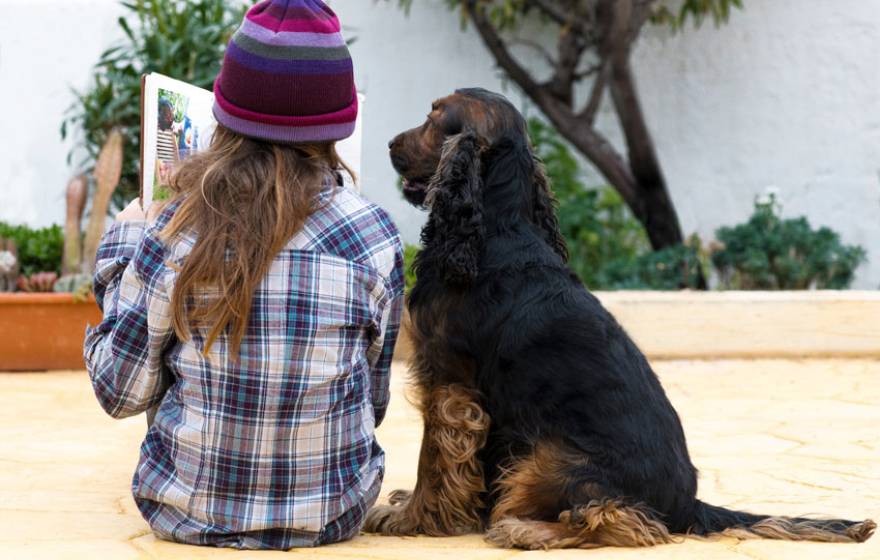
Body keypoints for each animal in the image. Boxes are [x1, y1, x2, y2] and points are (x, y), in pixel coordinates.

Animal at [362, 87, 872, 548]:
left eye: (434, 118)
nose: (387, 144)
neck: (495, 227)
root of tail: (688, 505)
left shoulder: (449, 383)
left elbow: (434, 459)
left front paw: (412, 518)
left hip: (550, 456)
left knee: (628, 521)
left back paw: (527, 529)